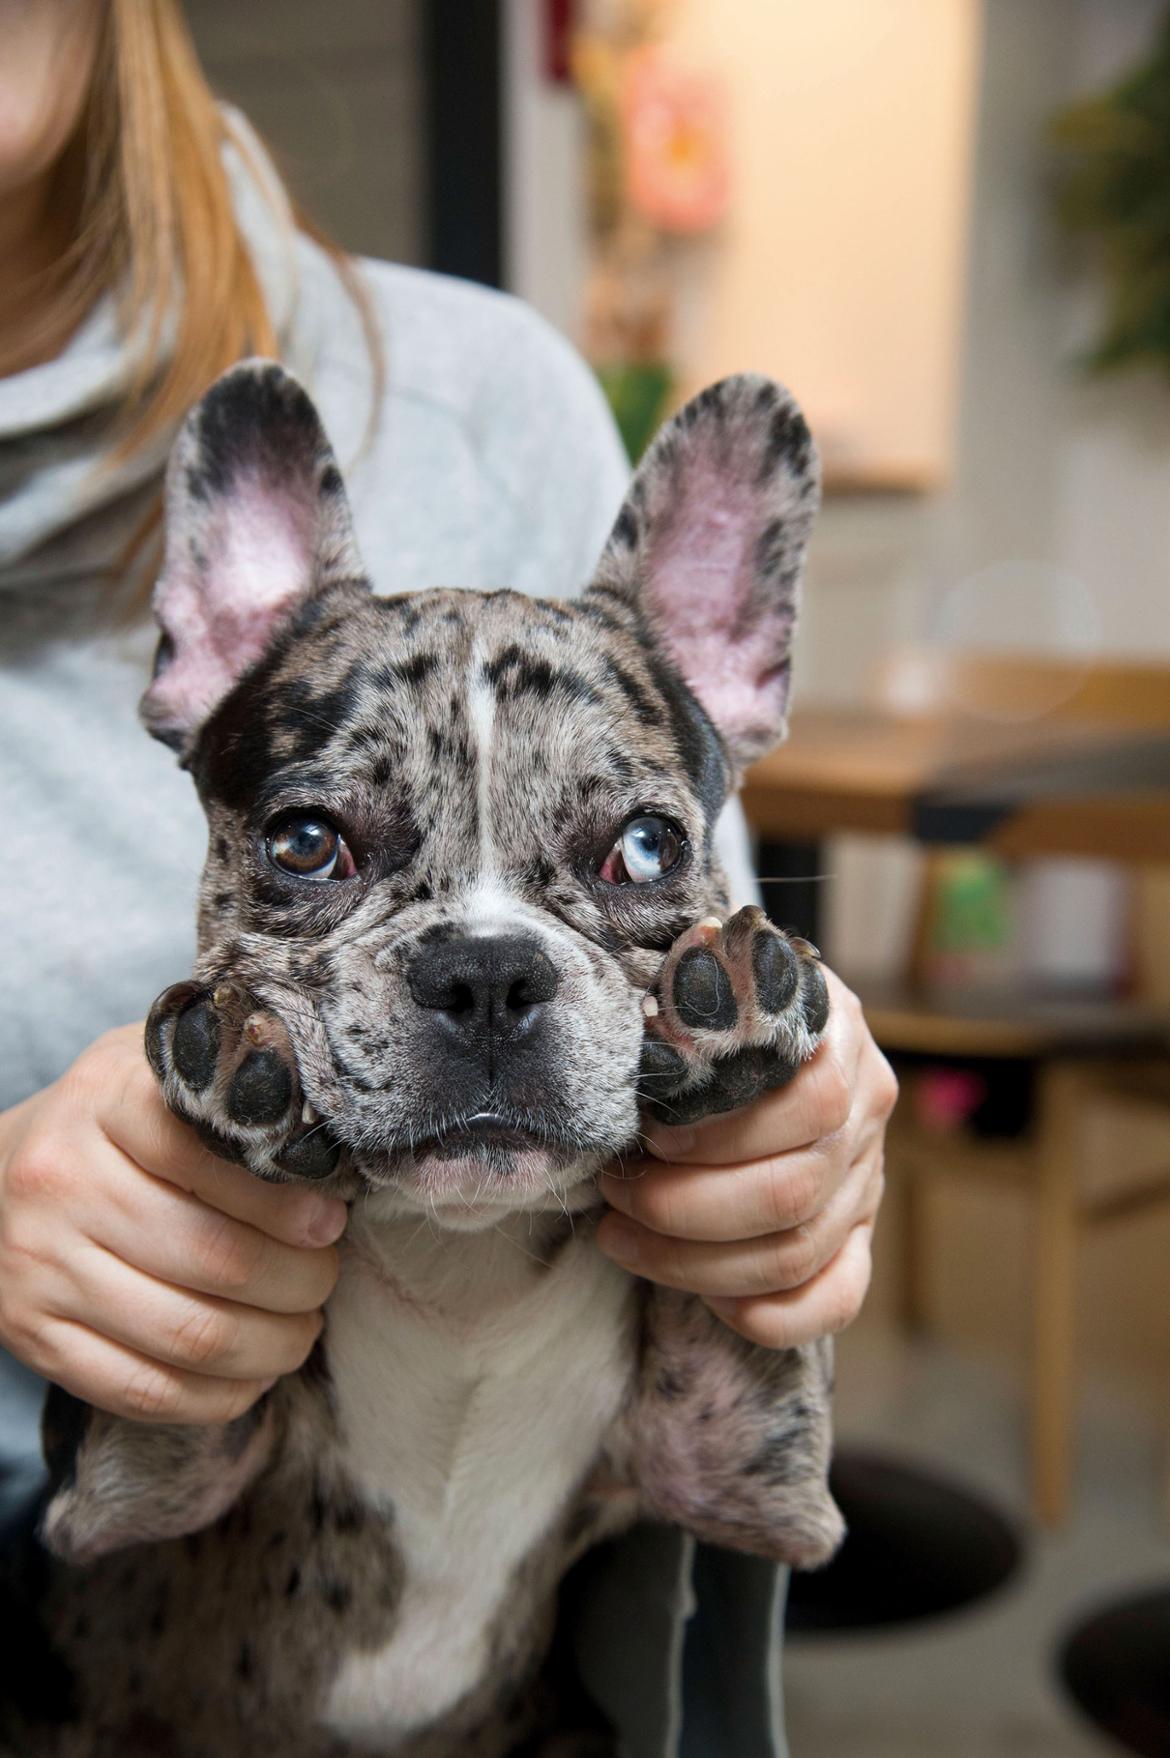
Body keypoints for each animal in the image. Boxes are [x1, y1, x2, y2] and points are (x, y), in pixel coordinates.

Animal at [0, 363, 839, 1750]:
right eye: (305, 843)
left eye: (649, 848)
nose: (487, 971)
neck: (467, 1261)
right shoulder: (119, 1501)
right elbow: (160, 1428)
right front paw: (233, 1075)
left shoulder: (733, 1470)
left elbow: (728, 1330)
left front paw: (729, 1021)